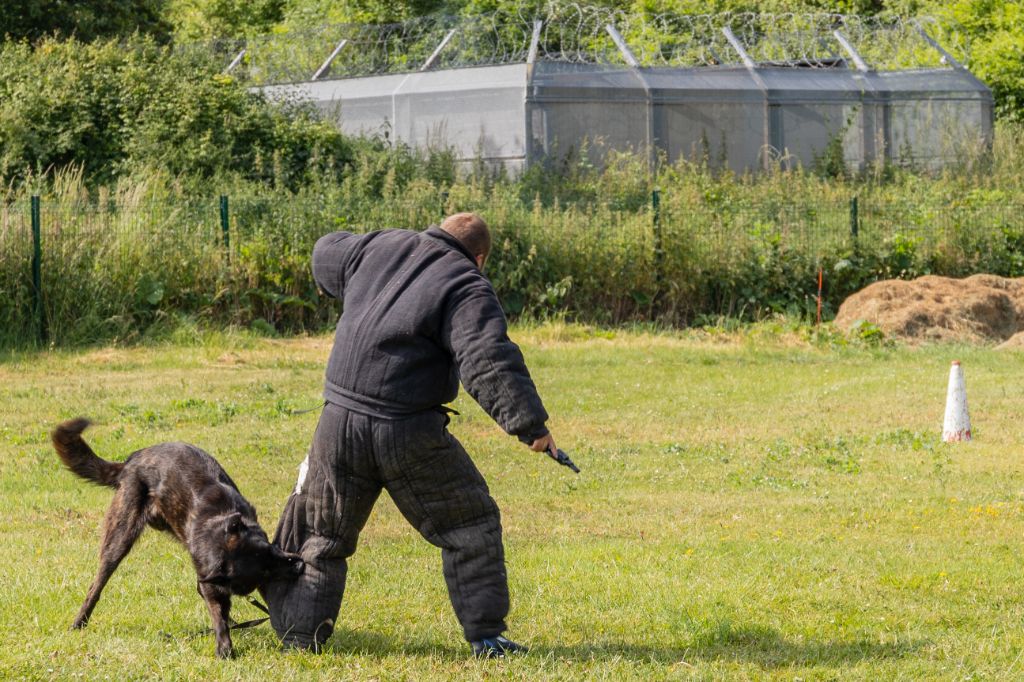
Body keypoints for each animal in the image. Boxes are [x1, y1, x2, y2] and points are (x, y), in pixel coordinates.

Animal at [52, 417, 299, 655]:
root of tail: (131, 461)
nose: (298, 564)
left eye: (270, 549)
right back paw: (79, 622)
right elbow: (217, 613)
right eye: (264, 572)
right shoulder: (211, 581)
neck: (217, 532)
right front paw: (224, 646)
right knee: (96, 586)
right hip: (119, 538)